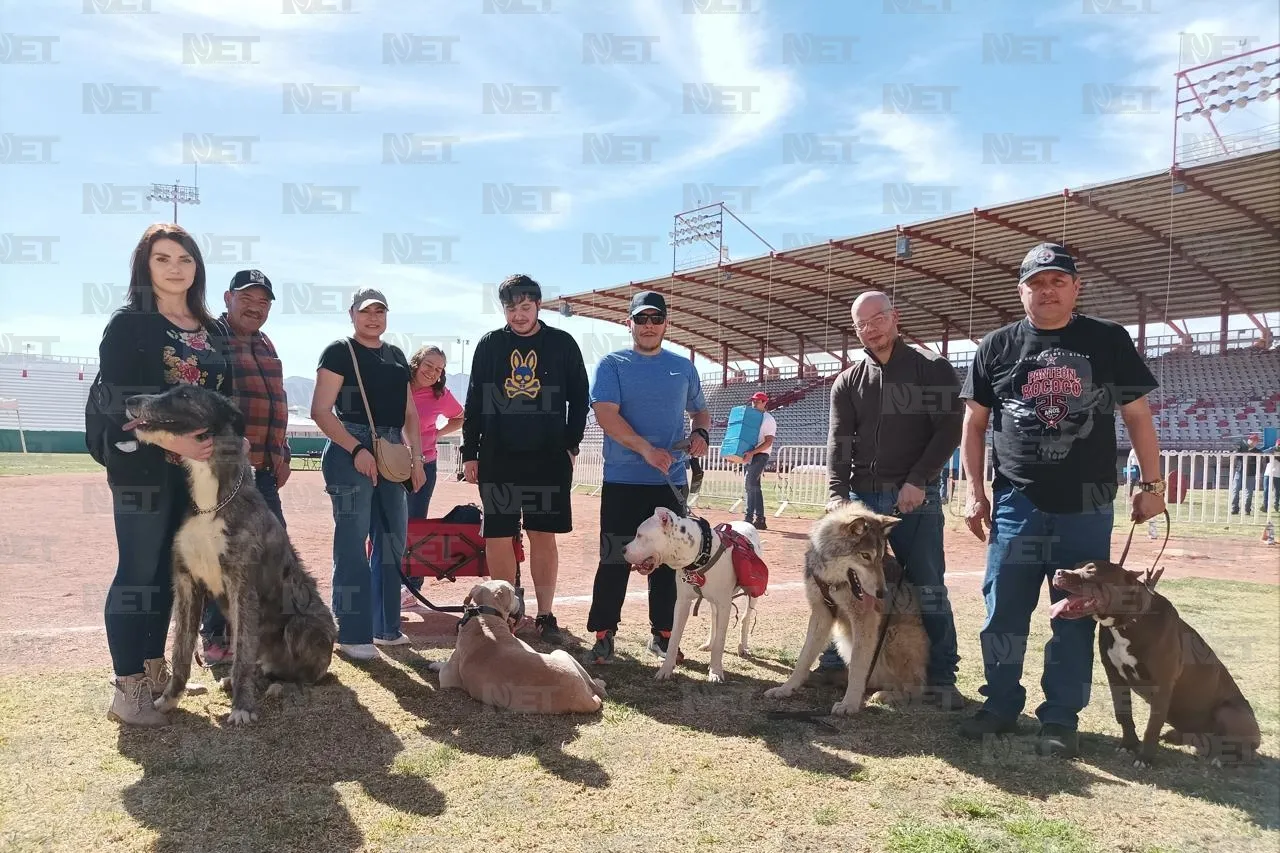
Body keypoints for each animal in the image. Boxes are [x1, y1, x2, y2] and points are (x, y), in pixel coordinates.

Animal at [120, 381, 335, 722]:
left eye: (184, 395)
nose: (130, 400)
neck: (212, 503)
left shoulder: (241, 586)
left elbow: (242, 656)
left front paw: (242, 707)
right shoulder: (186, 584)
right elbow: (181, 651)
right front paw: (170, 698)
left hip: (304, 626)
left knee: (309, 676)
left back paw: (281, 686)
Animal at [622, 507, 762, 681]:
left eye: (640, 535)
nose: (622, 550)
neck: (701, 555)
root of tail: (746, 523)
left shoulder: (724, 604)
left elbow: (721, 641)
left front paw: (716, 671)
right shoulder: (682, 603)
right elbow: (674, 637)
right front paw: (665, 669)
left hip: (751, 595)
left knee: (745, 618)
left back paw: (743, 647)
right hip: (713, 602)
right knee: (714, 619)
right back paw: (709, 643)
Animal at [1049, 560, 1259, 768]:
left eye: (1091, 570)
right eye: (1076, 566)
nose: (1058, 572)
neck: (1129, 622)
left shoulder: (1162, 684)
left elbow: (1152, 725)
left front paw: (1144, 758)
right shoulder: (1115, 677)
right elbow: (1123, 713)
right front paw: (1128, 745)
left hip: (1229, 711)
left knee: (1246, 752)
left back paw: (1221, 758)